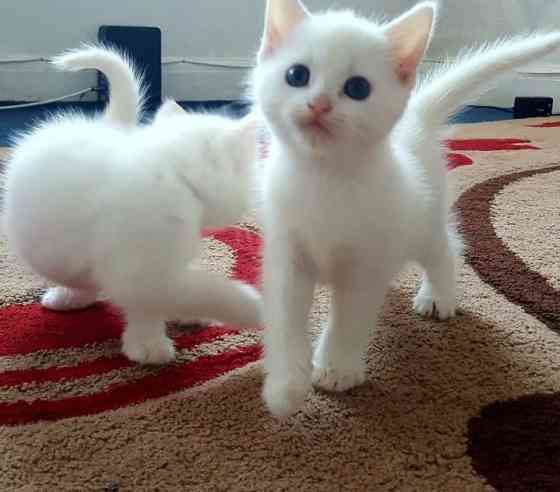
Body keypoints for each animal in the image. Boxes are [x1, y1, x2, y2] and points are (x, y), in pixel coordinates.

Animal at [3, 45, 262, 366]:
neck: (175, 174)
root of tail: (107, 125)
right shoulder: (143, 273)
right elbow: (197, 291)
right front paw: (253, 307)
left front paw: (156, 335)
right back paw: (70, 297)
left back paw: (69, 297)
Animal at [252, 0, 560, 418]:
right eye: (297, 75)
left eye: (358, 88)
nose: (319, 104)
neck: (323, 177)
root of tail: (415, 120)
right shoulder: (287, 254)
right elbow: (285, 320)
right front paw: (285, 387)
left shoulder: (364, 264)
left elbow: (350, 317)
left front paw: (336, 368)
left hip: (422, 223)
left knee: (448, 248)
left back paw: (438, 296)